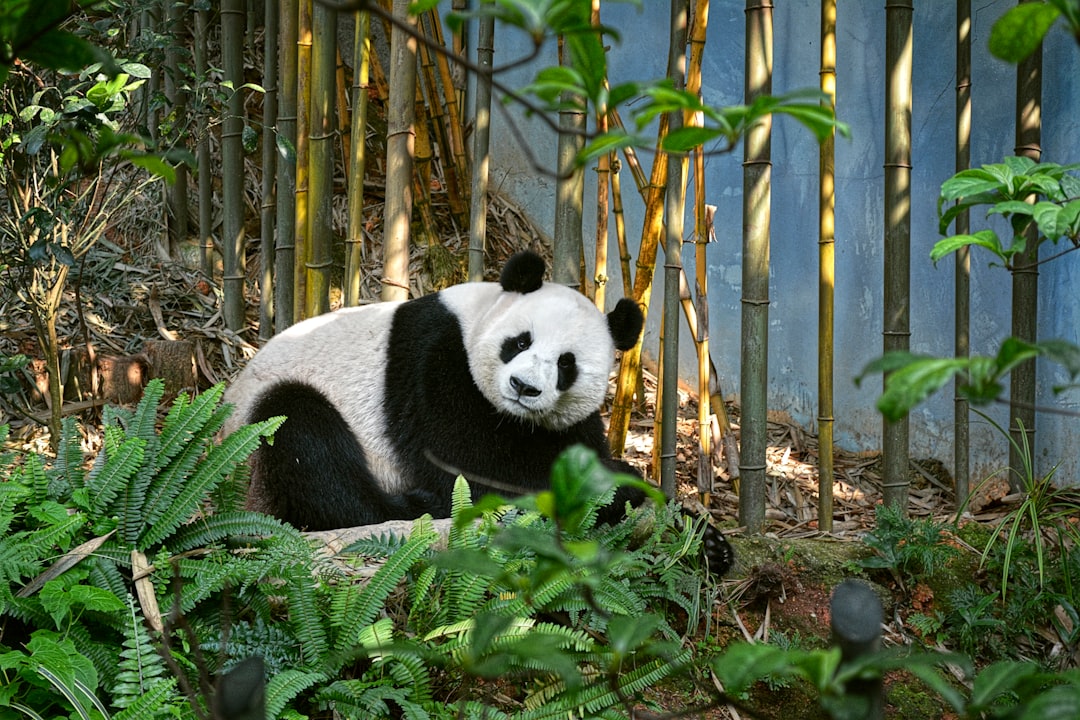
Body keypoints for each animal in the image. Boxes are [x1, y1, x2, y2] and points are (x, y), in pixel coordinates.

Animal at [223, 251, 734, 573]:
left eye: (566, 363)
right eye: (520, 342)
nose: (524, 388)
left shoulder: (566, 420)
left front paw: (708, 542)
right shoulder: (436, 364)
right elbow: (472, 466)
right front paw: (624, 488)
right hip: (257, 437)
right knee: (304, 441)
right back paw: (414, 507)